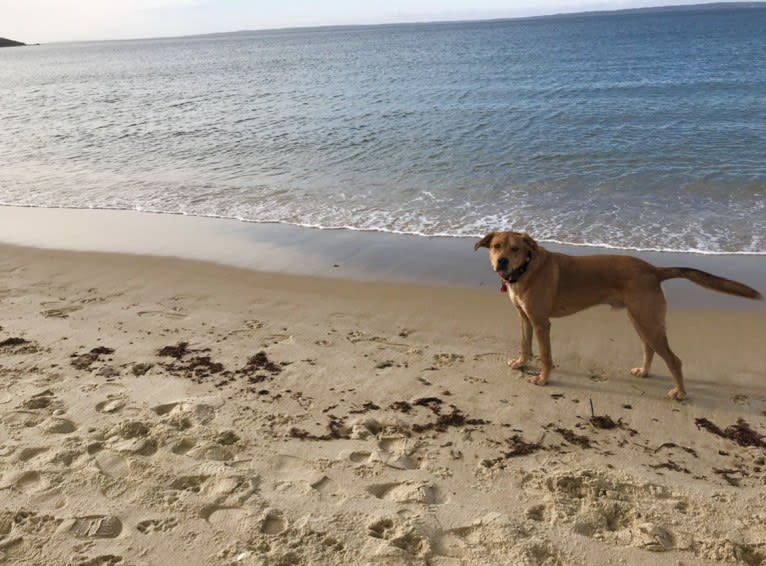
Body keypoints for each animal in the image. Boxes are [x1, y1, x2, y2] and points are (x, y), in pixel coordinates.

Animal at [476, 233, 764, 402]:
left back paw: (680, 392)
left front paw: (544, 378)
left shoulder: (540, 323)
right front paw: (521, 362)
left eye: (515, 249)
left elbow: (545, 355)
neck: (526, 270)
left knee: (674, 360)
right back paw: (644, 371)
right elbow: (525, 345)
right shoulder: (524, 318)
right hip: (640, 320)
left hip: (648, 322)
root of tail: (653, 270)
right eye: (496, 246)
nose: (501, 262)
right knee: (649, 349)